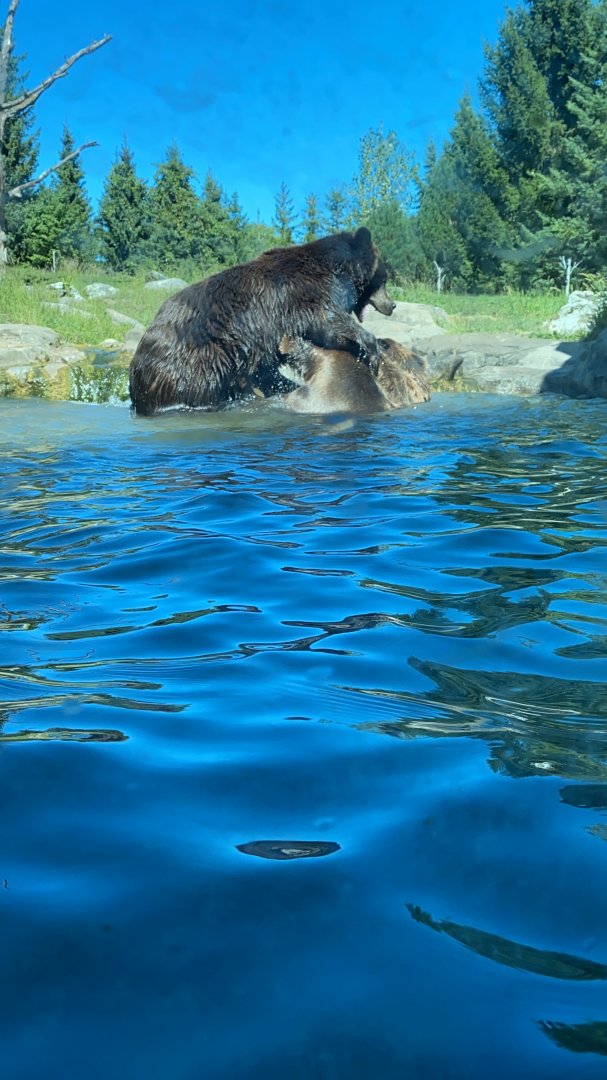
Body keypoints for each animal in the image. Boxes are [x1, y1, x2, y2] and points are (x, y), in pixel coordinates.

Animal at [128, 228, 395, 415]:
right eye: (383, 278)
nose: (392, 305)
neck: (338, 270)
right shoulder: (306, 293)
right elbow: (328, 321)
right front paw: (371, 350)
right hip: (197, 362)